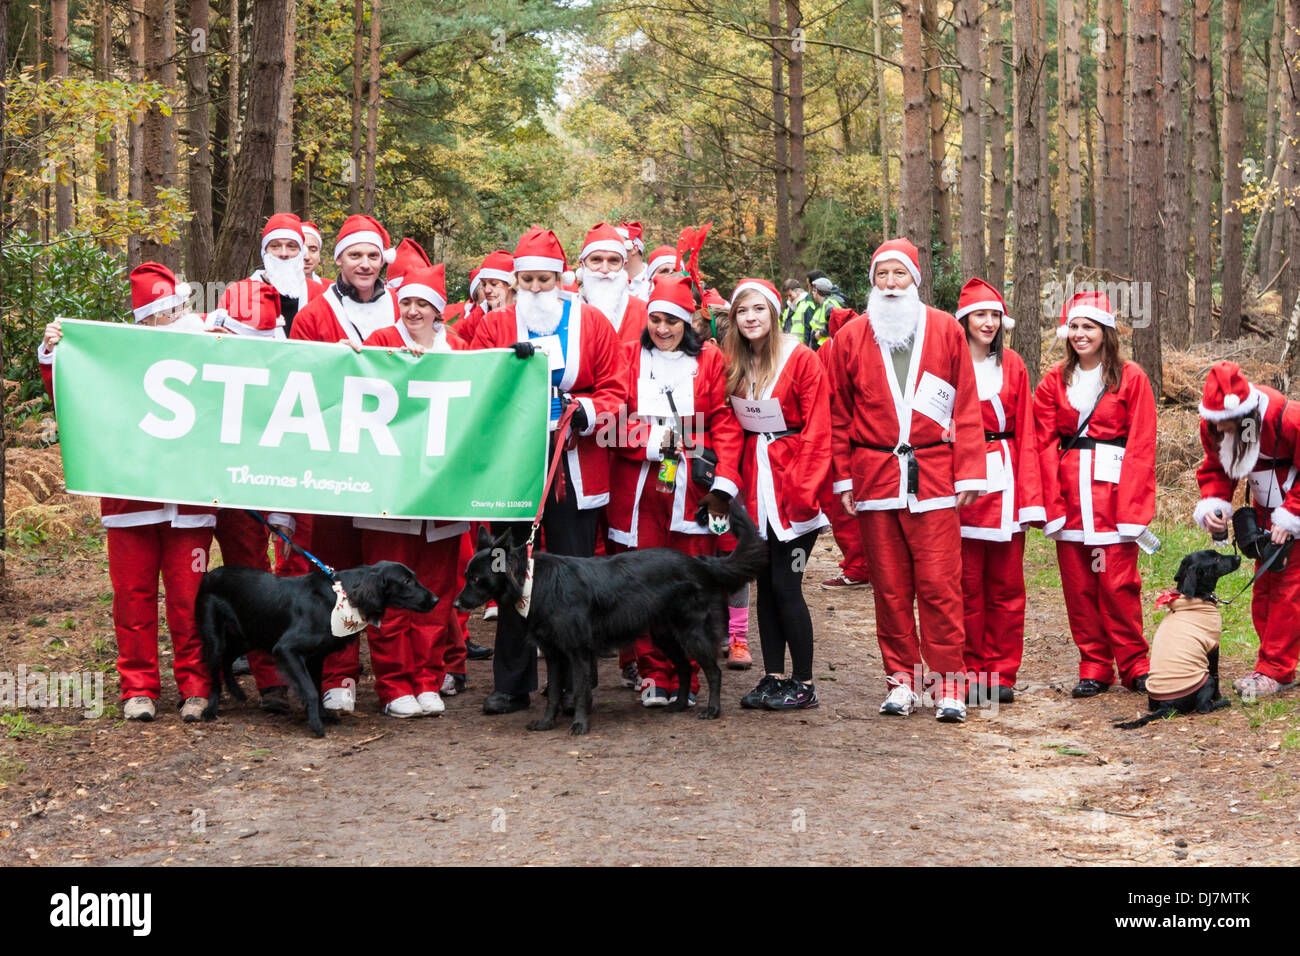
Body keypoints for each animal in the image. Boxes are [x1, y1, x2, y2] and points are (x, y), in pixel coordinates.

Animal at [195, 556, 434, 738]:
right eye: (407, 581)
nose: (436, 599)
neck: (340, 597)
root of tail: (209, 574)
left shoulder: (316, 656)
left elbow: (318, 688)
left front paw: (324, 716)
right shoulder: (286, 650)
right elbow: (309, 690)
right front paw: (316, 724)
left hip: (249, 635)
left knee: (228, 658)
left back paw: (236, 691)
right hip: (216, 638)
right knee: (215, 672)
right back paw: (210, 710)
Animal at [454, 502, 764, 733]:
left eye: (477, 579)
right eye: (467, 576)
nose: (456, 604)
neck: (533, 582)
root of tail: (699, 562)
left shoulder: (578, 652)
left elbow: (580, 690)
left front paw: (579, 724)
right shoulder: (554, 654)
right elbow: (553, 693)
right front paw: (546, 723)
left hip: (692, 634)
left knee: (714, 672)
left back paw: (713, 710)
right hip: (664, 636)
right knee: (686, 668)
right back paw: (677, 705)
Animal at [1112, 548, 1242, 728]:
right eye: (1216, 559)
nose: (1239, 556)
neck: (1196, 597)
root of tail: (1167, 705)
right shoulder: (1213, 646)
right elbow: (1216, 674)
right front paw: (1219, 696)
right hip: (1205, 679)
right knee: (1203, 707)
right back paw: (1221, 703)